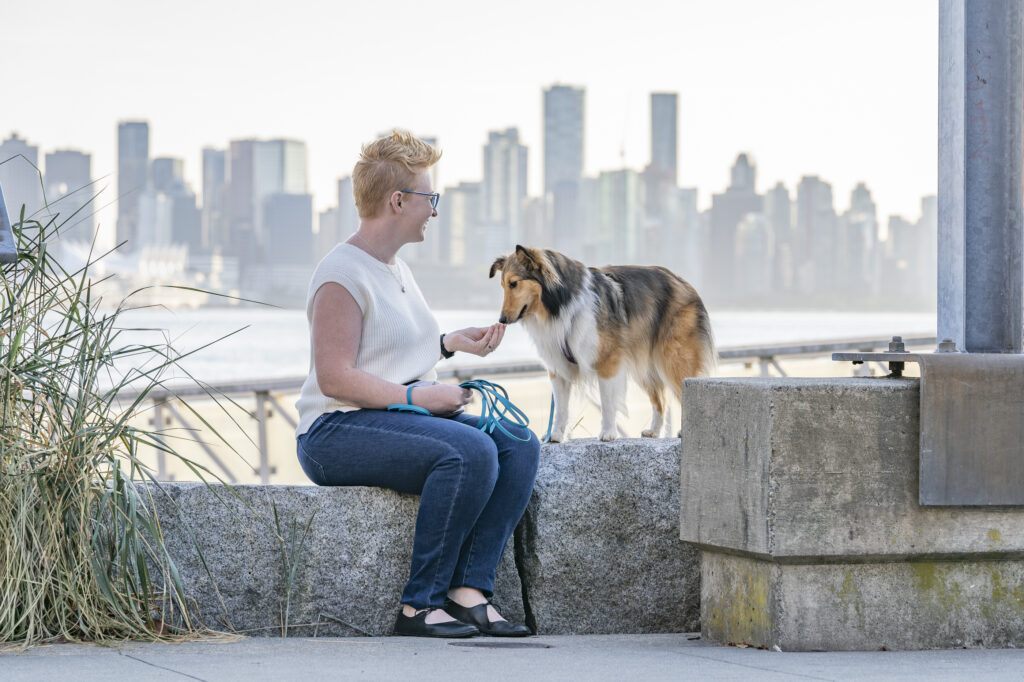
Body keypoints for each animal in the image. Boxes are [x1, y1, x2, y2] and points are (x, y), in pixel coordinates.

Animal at [487, 244, 712, 440]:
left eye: (514, 283)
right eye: (503, 285)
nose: (502, 320)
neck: (562, 305)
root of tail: (683, 281)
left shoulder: (607, 361)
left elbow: (607, 402)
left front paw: (608, 433)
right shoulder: (559, 368)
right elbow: (561, 407)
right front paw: (556, 435)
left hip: (673, 358)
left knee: (686, 389)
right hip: (645, 364)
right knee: (660, 400)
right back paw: (653, 431)